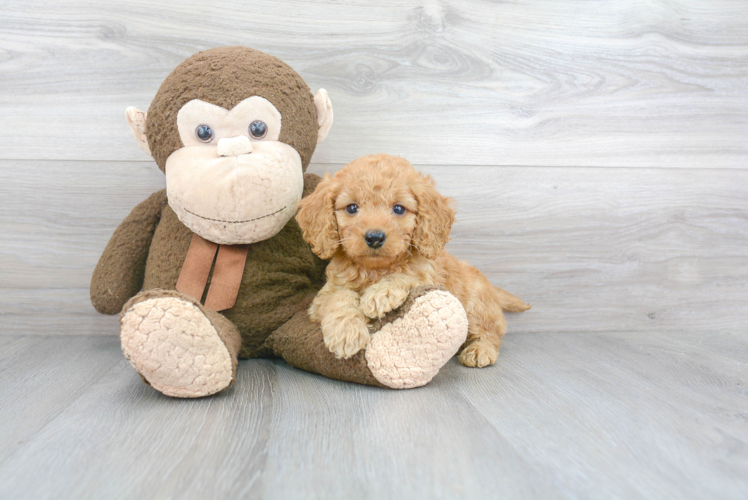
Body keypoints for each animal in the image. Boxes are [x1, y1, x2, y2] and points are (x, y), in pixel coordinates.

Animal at [296, 154, 528, 370]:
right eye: (352, 208)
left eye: (399, 209)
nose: (374, 237)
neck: (375, 270)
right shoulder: (322, 298)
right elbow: (339, 297)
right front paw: (346, 333)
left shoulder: (429, 277)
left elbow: (407, 276)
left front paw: (380, 294)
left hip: (476, 306)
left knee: (492, 333)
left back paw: (480, 350)